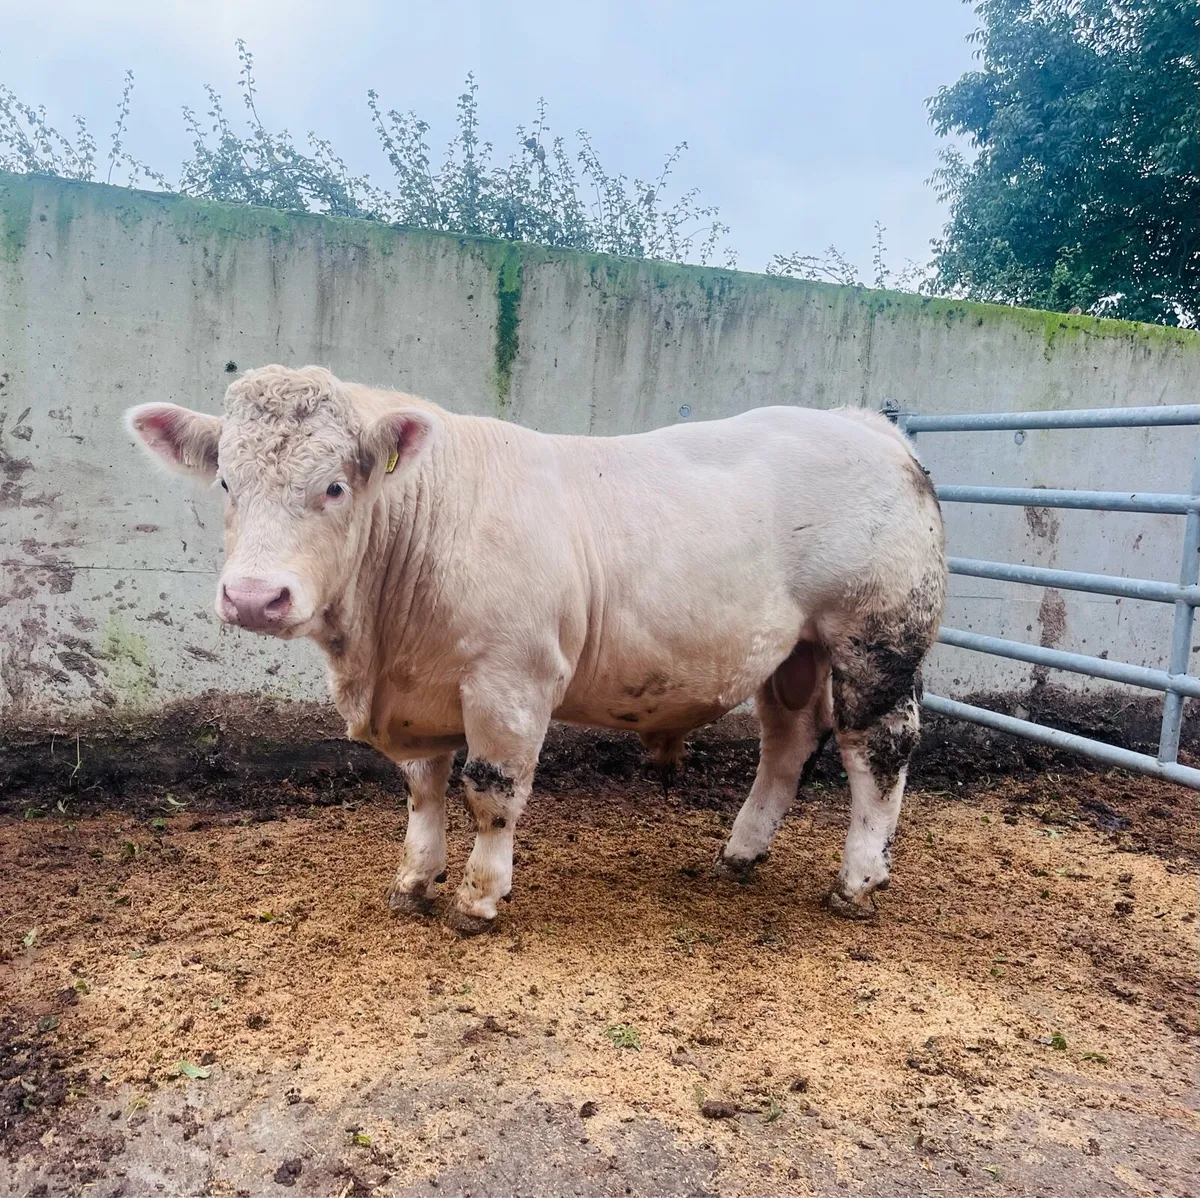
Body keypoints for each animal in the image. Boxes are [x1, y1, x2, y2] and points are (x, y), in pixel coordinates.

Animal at [127, 365, 946, 934]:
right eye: (226, 482)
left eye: (334, 486)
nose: (253, 598)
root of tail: (867, 427)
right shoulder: (419, 694)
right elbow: (423, 788)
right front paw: (413, 881)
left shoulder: (511, 681)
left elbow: (492, 790)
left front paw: (478, 899)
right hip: (791, 653)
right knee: (787, 743)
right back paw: (739, 854)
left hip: (876, 637)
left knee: (879, 750)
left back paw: (857, 882)